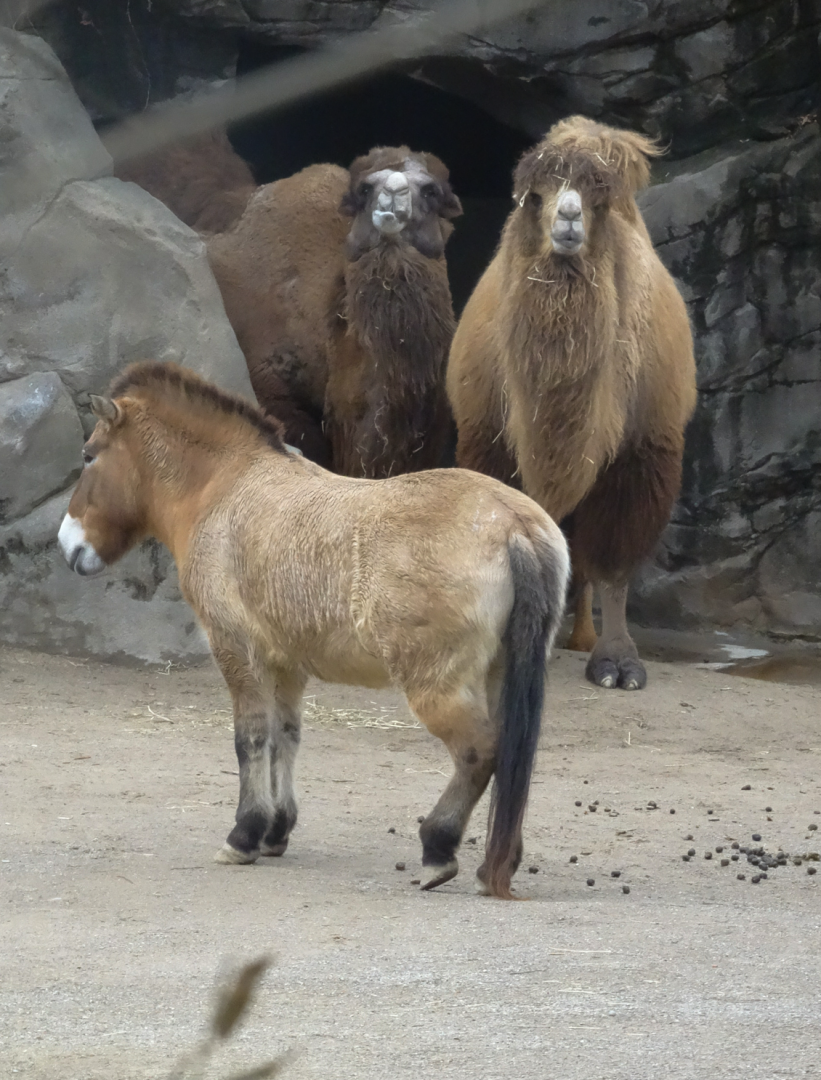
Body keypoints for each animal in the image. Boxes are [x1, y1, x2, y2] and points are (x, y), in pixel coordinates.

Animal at [57, 362, 569, 899]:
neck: (225, 488)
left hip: (437, 687)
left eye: (89, 454)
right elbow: (286, 737)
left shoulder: (236, 651)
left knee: (479, 752)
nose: (67, 544)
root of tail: (513, 525)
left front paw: (244, 834)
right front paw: (276, 830)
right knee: (509, 754)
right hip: (500, 674)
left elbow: (250, 738)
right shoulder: (287, 664)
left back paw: (438, 848)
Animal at [447, 116, 697, 691]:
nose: (568, 216)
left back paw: (580, 636)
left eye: (598, 201)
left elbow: (614, 566)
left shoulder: (641, 454)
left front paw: (617, 662)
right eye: (534, 196)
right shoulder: (490, 444)